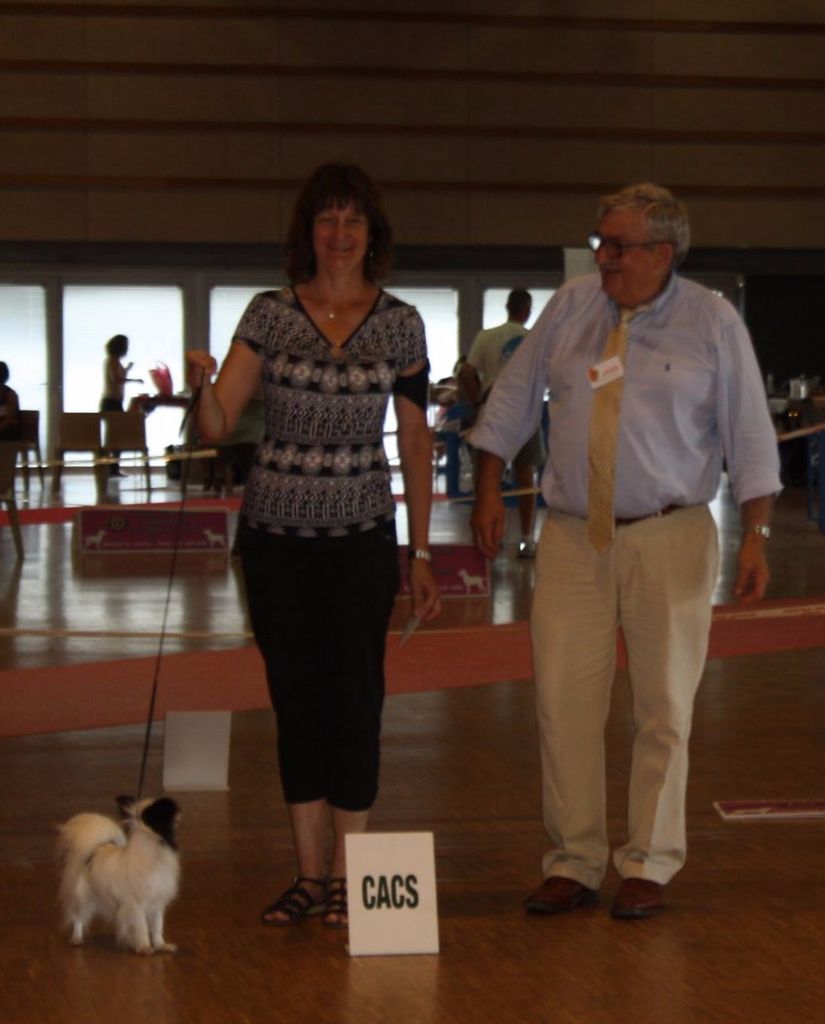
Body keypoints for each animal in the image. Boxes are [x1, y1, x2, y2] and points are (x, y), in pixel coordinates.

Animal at [57, 794, 181, 954]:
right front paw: (144, 947)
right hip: (83, 897)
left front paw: (161, 945)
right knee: (78, 917)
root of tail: (94, 850)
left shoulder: (157, 902)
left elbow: (157, 926)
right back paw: (77, 939)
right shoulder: (136, 905)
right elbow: (142, 927)